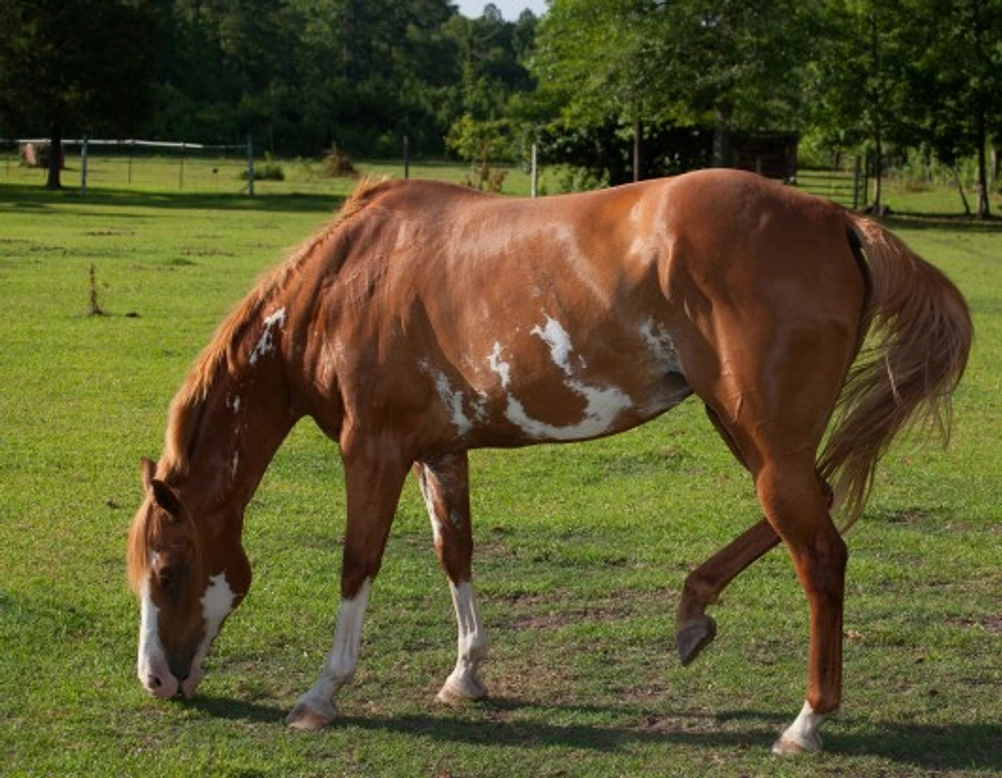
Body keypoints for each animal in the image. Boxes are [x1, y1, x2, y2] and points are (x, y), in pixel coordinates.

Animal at [127, 169, 971, 753]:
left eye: (167, 571)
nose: (157, 681)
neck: (345, 283)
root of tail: (838, 219)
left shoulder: (371, 450)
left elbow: (357, 562)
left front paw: (321, 694)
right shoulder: (439, 450)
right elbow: (455, 552)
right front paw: (465, 675)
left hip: (762, 438)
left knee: (820, 553)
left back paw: (805, 723)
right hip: (756, 435)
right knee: (811, 506)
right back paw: (693, 610)